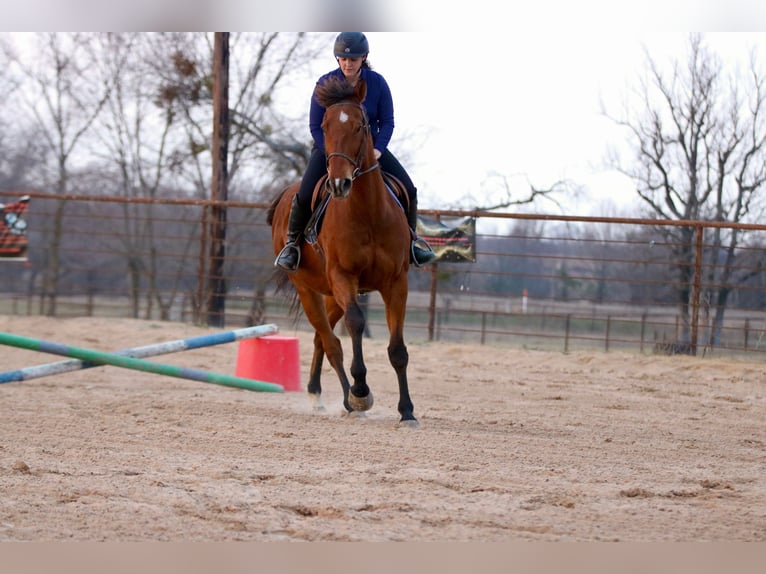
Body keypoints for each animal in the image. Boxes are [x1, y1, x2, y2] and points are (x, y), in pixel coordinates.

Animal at [267, 76, 418, 427]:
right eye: (324, 125)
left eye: (361, 125)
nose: (338, 184)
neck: (368, 212)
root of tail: (285, 196)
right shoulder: (344, 277)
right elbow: (356, 323)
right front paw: (361, 391)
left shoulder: (396, 283)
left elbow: (397, 349)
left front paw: (407, 410)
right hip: (309, 289)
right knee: (331, 342)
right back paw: (349, 399)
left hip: (329, 293)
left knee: (320, 339)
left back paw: (316, 392)